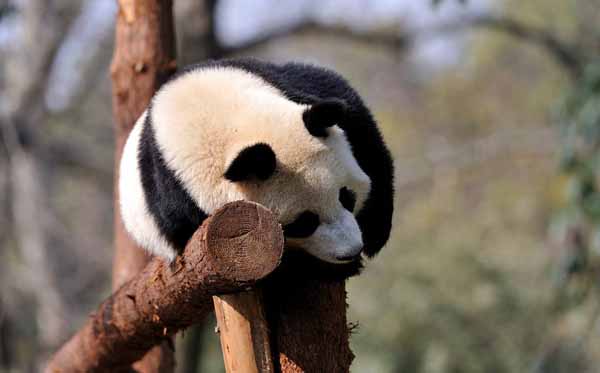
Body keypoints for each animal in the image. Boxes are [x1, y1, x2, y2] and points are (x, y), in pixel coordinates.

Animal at [120, 58, 394, 278]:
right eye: (304, 222)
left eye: (347, 196)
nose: (352, 250)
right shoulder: (176, 196)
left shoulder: (285, 83)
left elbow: (358, 125)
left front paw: (374, 232)